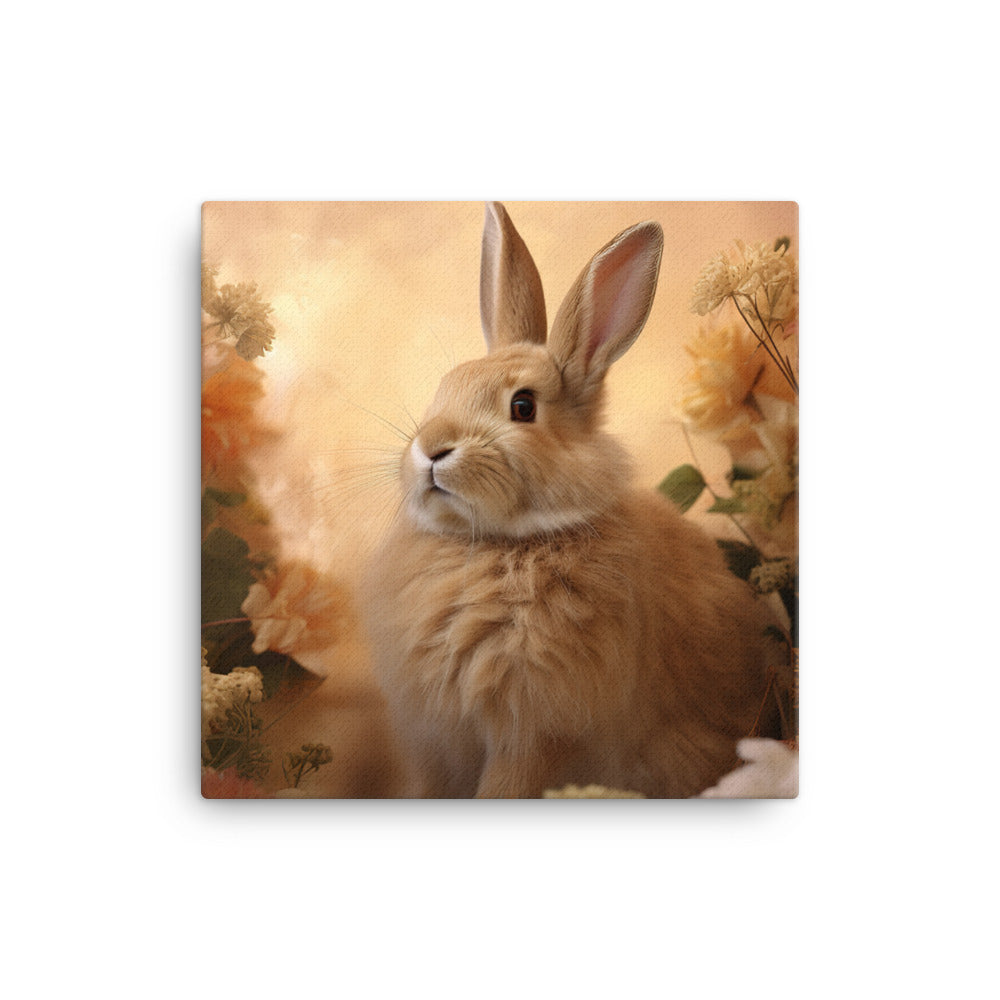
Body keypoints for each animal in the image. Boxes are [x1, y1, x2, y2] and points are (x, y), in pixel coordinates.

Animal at [360, 202, 782, 798]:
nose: (431, 449)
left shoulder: (533, 734)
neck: (495, 544)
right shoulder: (435, 745)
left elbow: (505, 787)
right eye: (443, 389)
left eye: (522, 406)